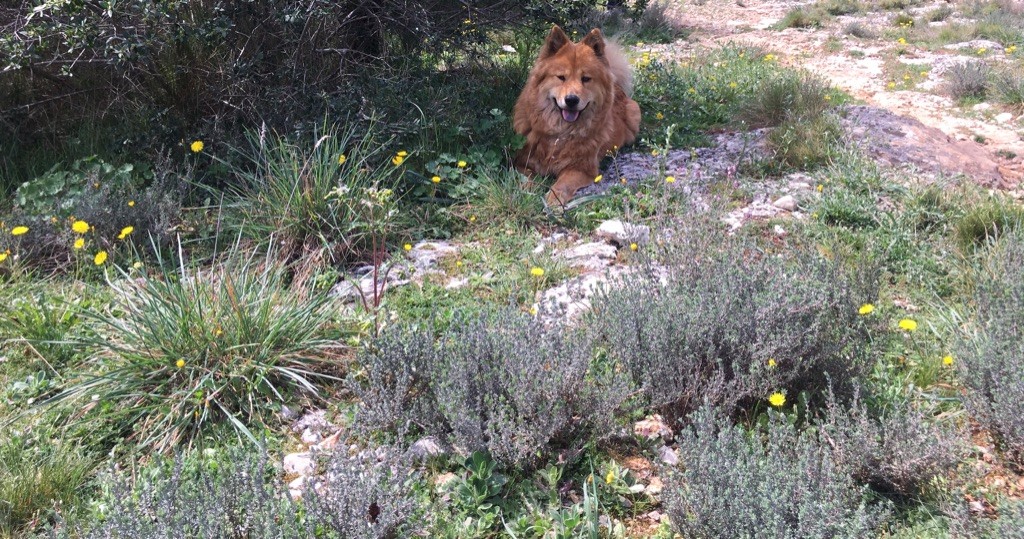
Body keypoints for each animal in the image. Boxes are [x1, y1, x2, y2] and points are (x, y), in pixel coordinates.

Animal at [512, 24, 638, 206]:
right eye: (561, 77)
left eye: (586, 79)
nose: (571, 100)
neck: (559, 135)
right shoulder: (521, 162)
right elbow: (527, 178)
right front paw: (526, 193)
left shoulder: (580, 169)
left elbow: (562, 184)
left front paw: (553, 200)